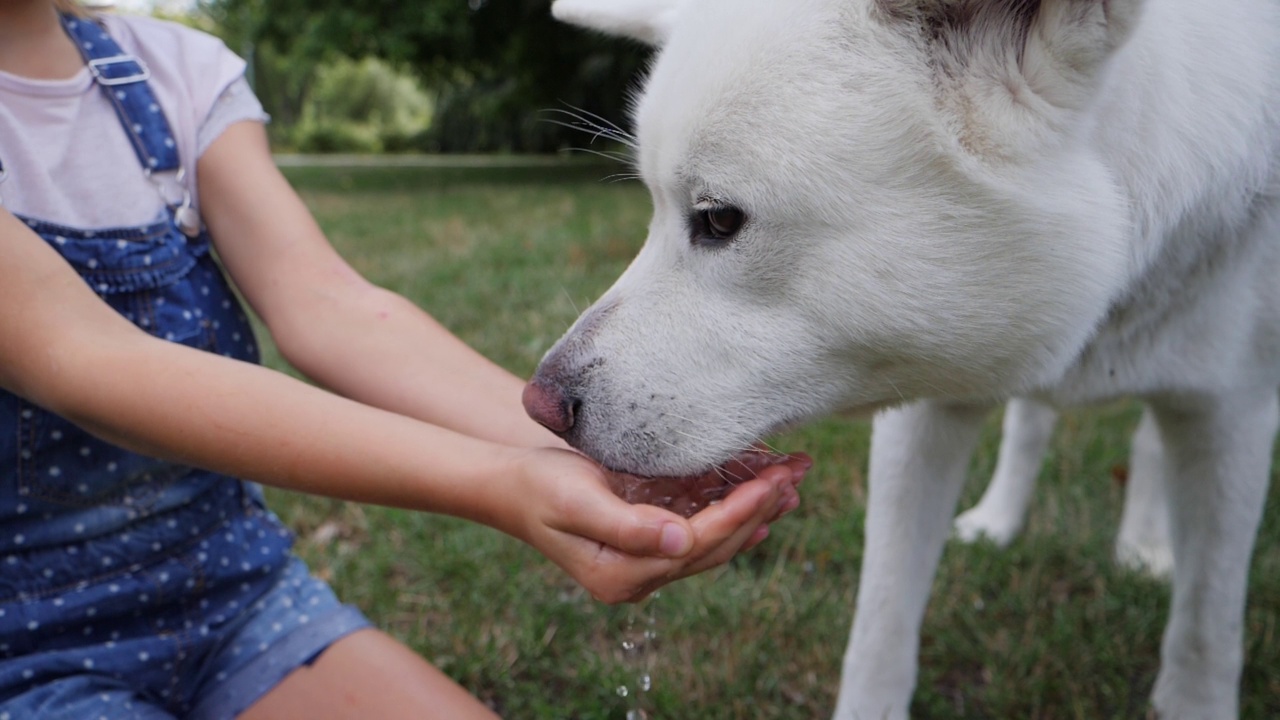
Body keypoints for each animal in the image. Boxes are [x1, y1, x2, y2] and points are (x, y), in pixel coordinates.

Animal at [529, 2, 1280, 712]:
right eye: (656, 210)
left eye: (717, 219)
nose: (538, 405)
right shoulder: (922, 419)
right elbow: (881, 629)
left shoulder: (1235, 419)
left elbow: (1207, 632)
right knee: (1034, 421)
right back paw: (1002, 518)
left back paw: (1144, 545)